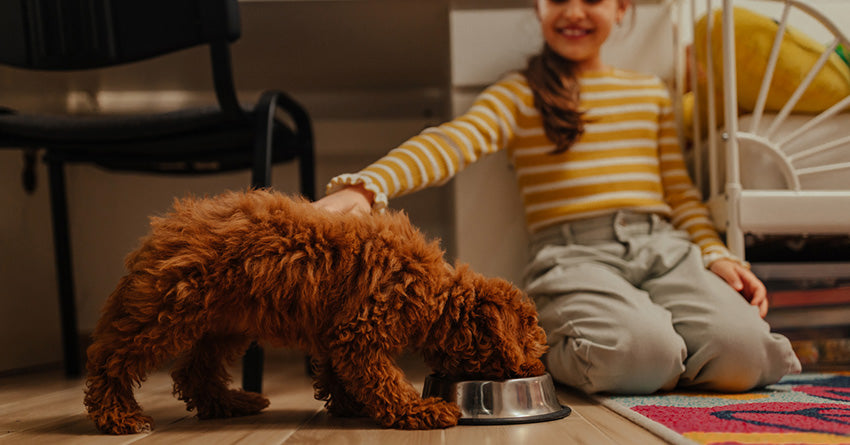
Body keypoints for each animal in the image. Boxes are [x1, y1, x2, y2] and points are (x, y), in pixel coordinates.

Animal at [84, 188, 544, 434]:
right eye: (532, 347)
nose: (538, 366)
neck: (433, 292)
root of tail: (160, 231)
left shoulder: (335, 333)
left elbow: (338, 373)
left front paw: (349, 405)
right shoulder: (360, 332)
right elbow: (384, 379)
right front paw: (419, 411)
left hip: (223, 322)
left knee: (195, 371)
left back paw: (231, 403)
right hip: (164, 314)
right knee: (110, 360)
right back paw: (120, 416)